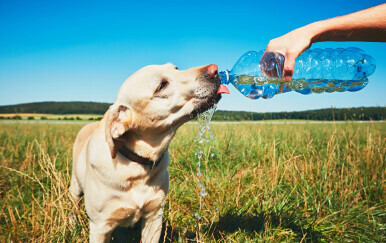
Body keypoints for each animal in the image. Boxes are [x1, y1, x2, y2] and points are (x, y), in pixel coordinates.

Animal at [69, 63, 228, 243]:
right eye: (161, 86)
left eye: (176, 68)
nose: (215, 70)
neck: (137, 166)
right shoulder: (100, 226)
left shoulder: (154, 216)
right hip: (75, 188)